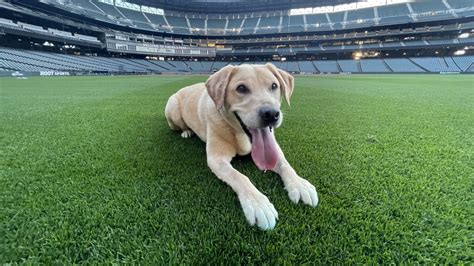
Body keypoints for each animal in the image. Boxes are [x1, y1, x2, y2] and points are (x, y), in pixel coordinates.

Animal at [165, 63, 316, 230]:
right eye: (241, 88)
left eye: (274, 86)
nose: (271, 114)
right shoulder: (216, 159)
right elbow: (240, 177)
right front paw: (258, 204)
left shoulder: (274, 148)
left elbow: (285, 164)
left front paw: (299, 184)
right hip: (172, 108)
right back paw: (186, 131)